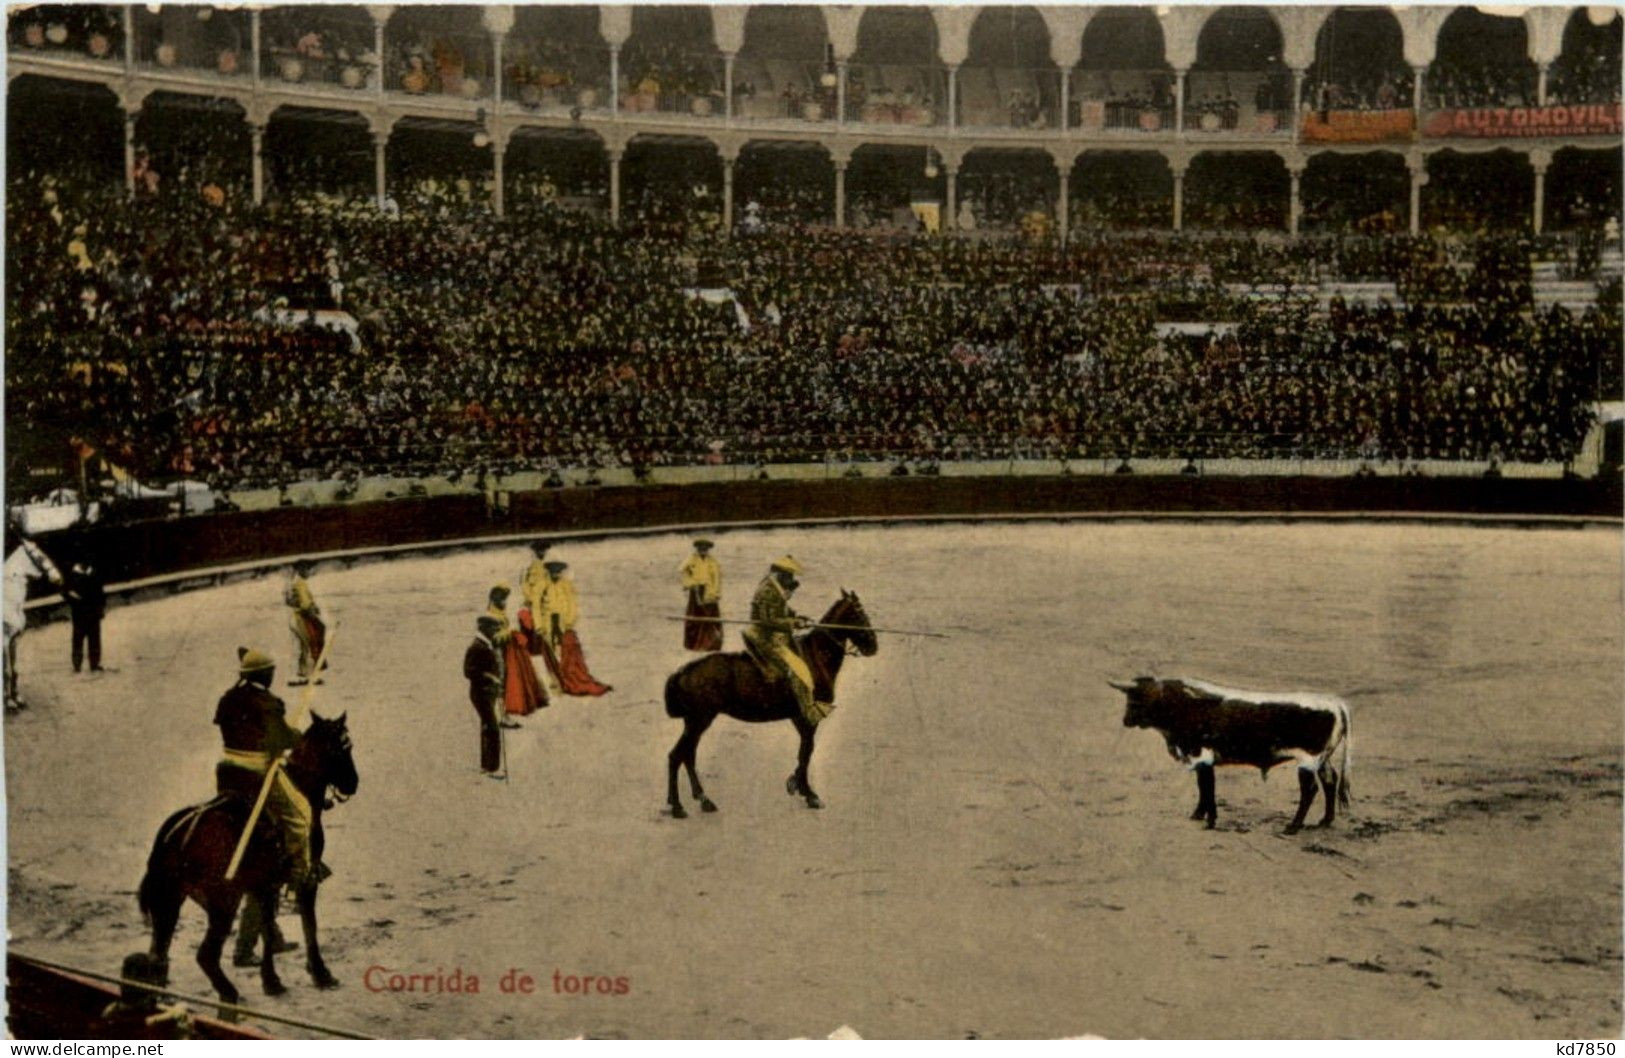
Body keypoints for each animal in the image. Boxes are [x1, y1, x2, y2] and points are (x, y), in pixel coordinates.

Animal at [4, 542, 61, 708]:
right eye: (40, 557)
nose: (58, 578)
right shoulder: (4, 641)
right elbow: (6, 671)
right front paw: (9, 702)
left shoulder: (14, 640)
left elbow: (15, 669)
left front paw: (17, 698)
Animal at [138, 715, 357, 1007]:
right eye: (341, 749)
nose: (353, 783)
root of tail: (179, 832)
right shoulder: (304, 880)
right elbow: (309, 925)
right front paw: (320, 973)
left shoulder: (263, 886)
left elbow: (266, 927)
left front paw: (271, 979)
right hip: (224, 902)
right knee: (205, 954)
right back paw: (229, 993)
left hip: (171, 900)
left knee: (159, 949)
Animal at [659, 591, 877, 822]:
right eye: (858, 614)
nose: (873, 645)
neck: (815, 657)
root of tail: (683, 671)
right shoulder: (808, 718)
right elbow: (806, 752)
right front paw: (808, 793)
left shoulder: (800, 719)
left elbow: (804, 752)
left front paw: (796, 784)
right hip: (699, 720)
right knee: (676, 755)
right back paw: (677, 806)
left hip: (695, 722)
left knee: (688, 755)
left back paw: (703, 800)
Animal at [1111, 679, 1352, 838]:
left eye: (1137, 701)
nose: (1125, 720)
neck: (1184, 706)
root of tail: (1335, 704)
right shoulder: (1200, 760)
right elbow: (1202, 787)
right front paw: (1198, 815)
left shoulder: (1202, 756)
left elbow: (1207, 787)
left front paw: (1210, 821)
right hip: (1322, 759)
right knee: (1330, 781)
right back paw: (1325, 821)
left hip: (1308, 761)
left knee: (1310, 790)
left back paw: (1293, 827)